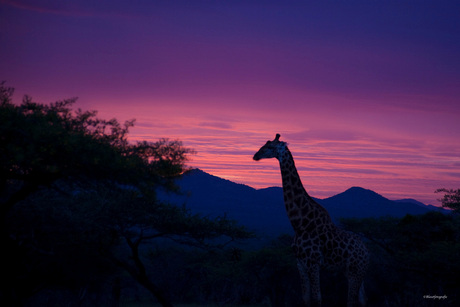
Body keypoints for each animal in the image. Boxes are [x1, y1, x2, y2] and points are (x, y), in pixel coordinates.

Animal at [253, 135, 368, 307]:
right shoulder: (300, 262)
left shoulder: (313, 262)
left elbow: (317, 298)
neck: (300, 224)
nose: (256, 155)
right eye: (265, 144)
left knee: (351, 301)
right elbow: (306, 298)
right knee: (362, 300)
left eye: (271, 147)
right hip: (352, 272)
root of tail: (366, 251)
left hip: (356, 271)